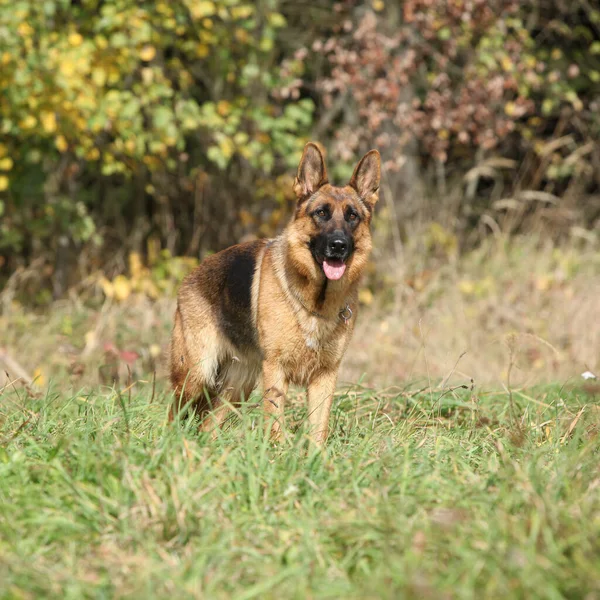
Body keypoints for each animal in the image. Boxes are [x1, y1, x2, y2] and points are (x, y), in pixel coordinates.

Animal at [169, 143, 380, 446]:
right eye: (322, 213)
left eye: (352, 216)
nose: (338, 245)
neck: (316, 302)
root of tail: (191, 274)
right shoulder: (276, 371)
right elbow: (276, 424)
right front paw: (278, 453)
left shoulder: (325, 377)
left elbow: (318, 429)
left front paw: (315, 457)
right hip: (196, 375)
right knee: (174, 412)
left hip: (237, 389)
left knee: (209, 424)